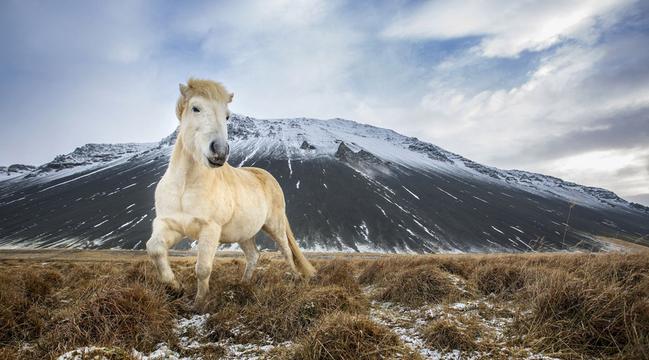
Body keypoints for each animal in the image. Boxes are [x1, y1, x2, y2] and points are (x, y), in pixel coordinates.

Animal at [147, 80, 318, 310]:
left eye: (227, 116)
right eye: (195, 108)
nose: (219, 152)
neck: (185, 185)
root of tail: (266, 176)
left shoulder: (209, 229)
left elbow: (203, 269)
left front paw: (198, 304)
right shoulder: (170, 225)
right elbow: (154, 248)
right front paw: (175, 287)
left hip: (275, 226)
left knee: (287, 252)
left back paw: (296, 280)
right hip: (244, 233)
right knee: (254, 255)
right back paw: (243, 285)